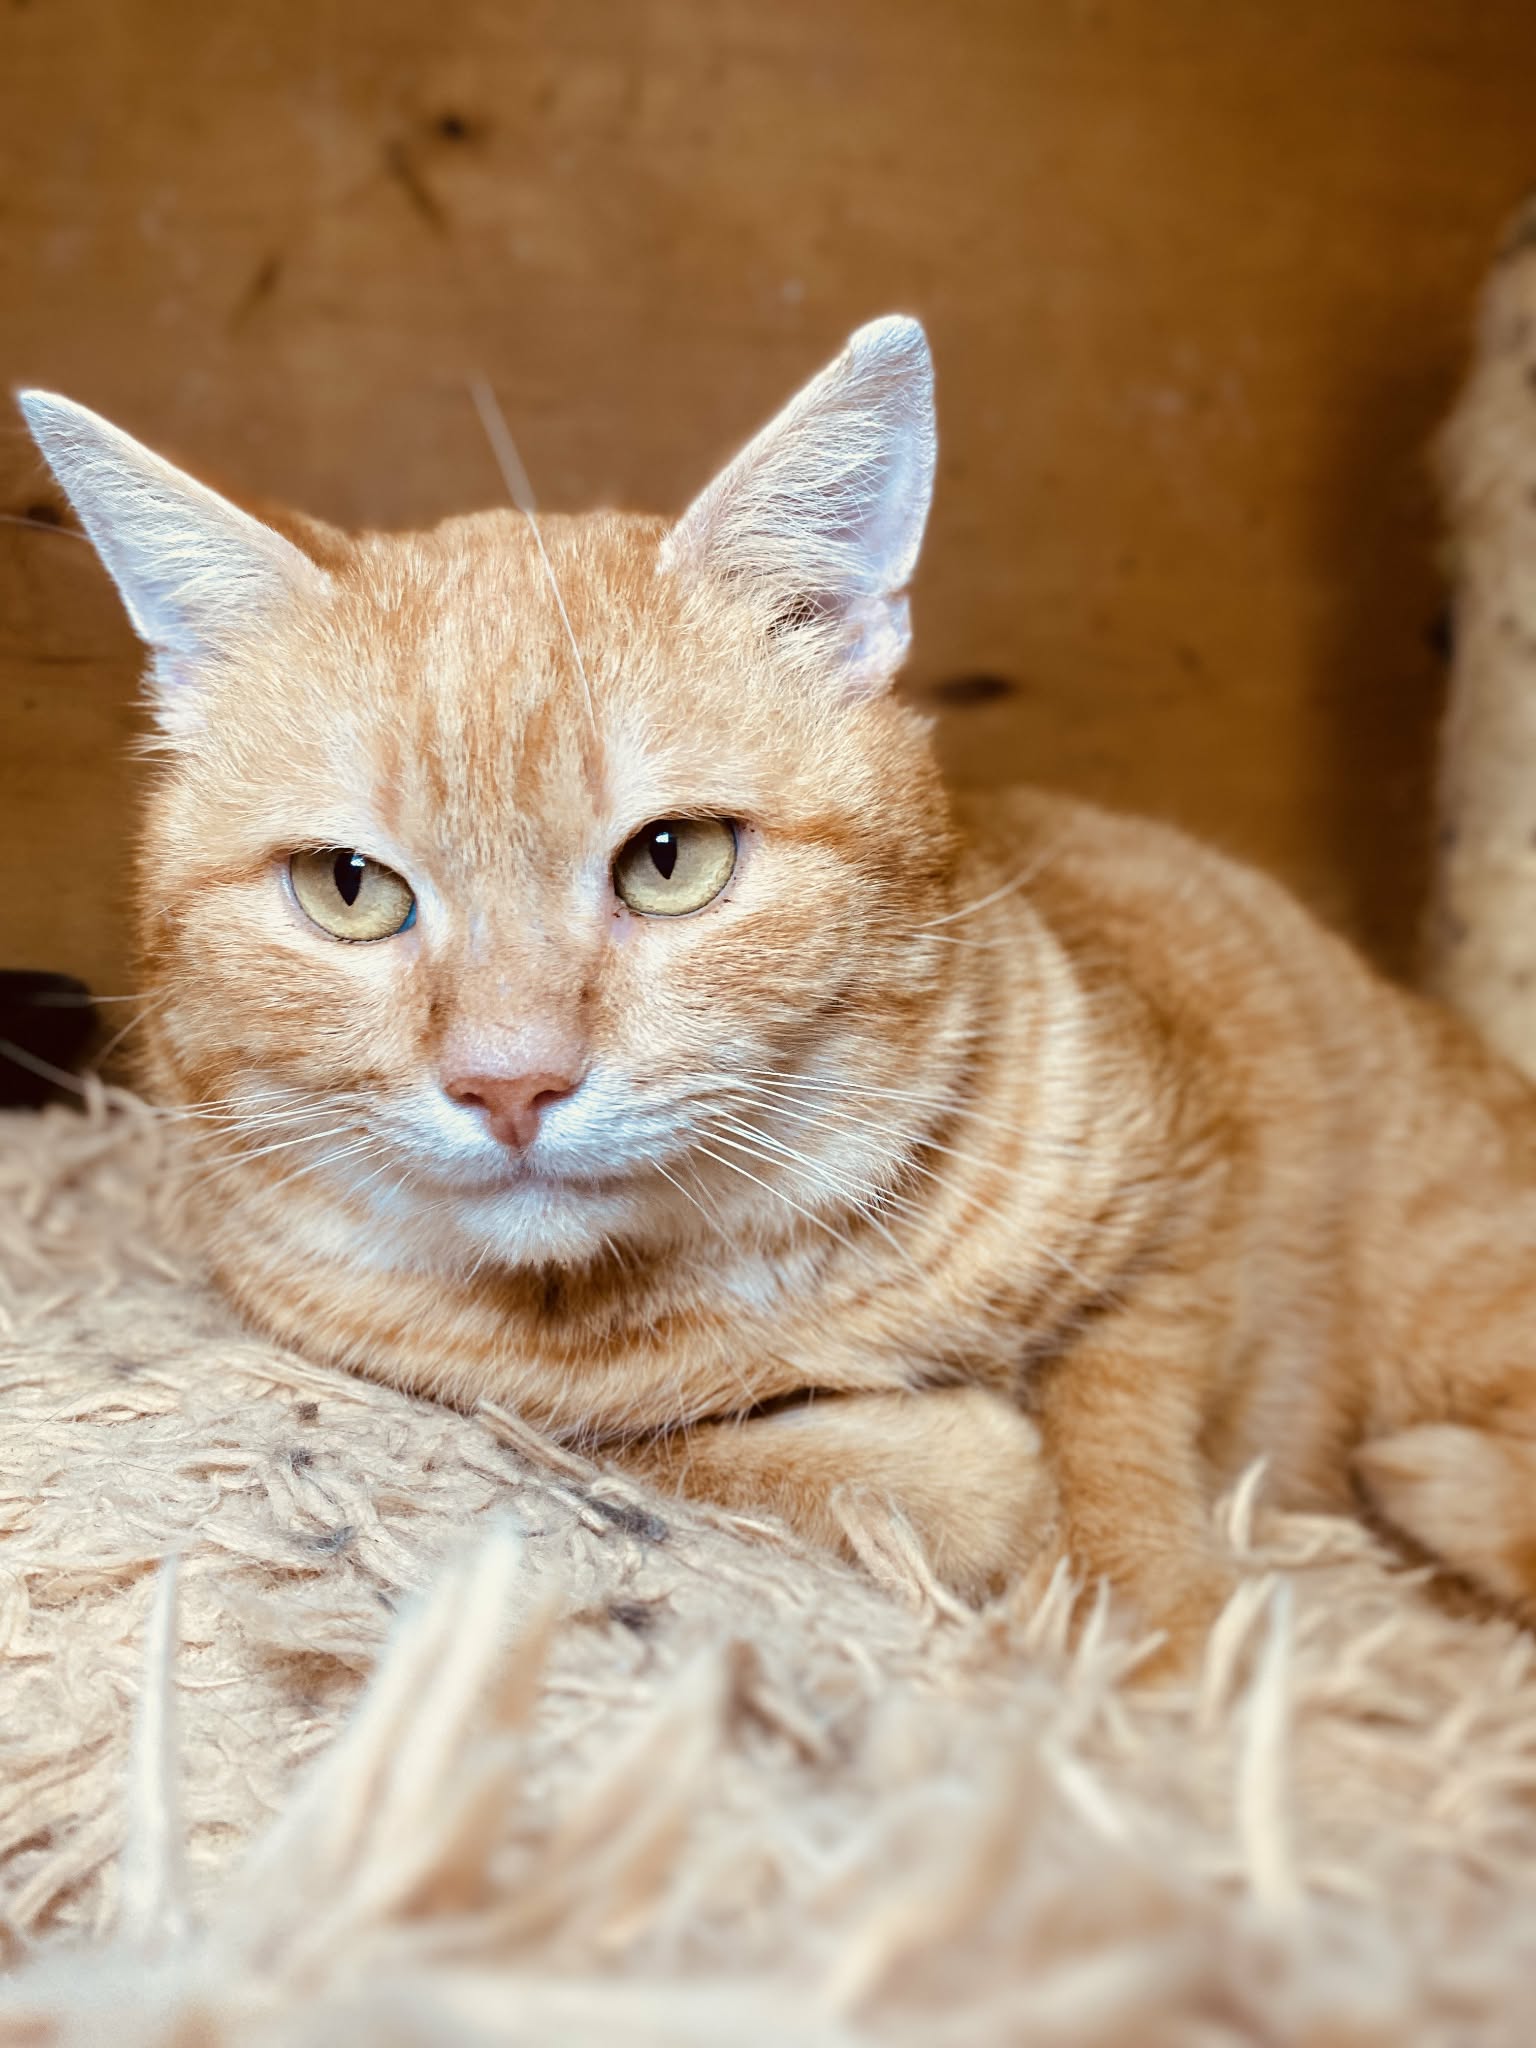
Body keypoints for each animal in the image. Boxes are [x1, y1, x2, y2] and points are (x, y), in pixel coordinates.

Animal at [21, 318, 1536, 1667]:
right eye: (349, 889)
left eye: (672, 860)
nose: (510, 1082)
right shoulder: (477, 1405)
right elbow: (768, 1457)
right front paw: (961, 1472)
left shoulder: (1182, 1213)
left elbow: (1117, 1440)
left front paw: (1162, 1657)